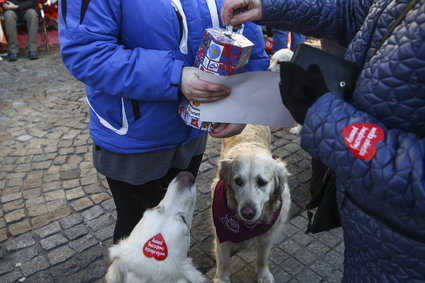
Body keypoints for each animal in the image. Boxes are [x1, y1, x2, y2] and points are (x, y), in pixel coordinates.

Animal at [210, 126, 290, 283]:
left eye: (262, 182)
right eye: (238, 181)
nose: (247, 213)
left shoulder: (268, 236)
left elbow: (262, 258)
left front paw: (263, 275)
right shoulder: (221, 236)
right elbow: (224, 262)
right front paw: (221, 279)